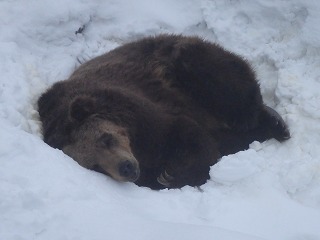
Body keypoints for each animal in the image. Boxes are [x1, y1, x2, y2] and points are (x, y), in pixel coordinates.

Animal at [37, 35, 290, 189]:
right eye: (95, 166)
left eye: (106, 138)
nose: (126, 167)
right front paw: (167, 174)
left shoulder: (147, 111)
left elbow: (190, 136)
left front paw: (172, 174)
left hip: (181, 64)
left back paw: (272, 122)